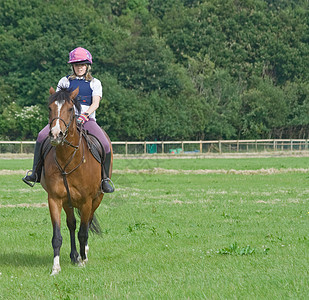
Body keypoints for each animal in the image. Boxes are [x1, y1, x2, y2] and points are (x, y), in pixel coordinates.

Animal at [39, 85, 112, 276]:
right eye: (50, 108)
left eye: (70, 109)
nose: (56, 134)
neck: (68, 159)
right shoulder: (55, 199)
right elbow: (58, 236)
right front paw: (56, 268)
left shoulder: (87, 201)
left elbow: (83, 232)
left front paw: (83, 261)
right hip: (68, 202)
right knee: (72, 224)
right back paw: (74, 256)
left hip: (96, 199)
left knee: (86, 223)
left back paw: (83, 253)